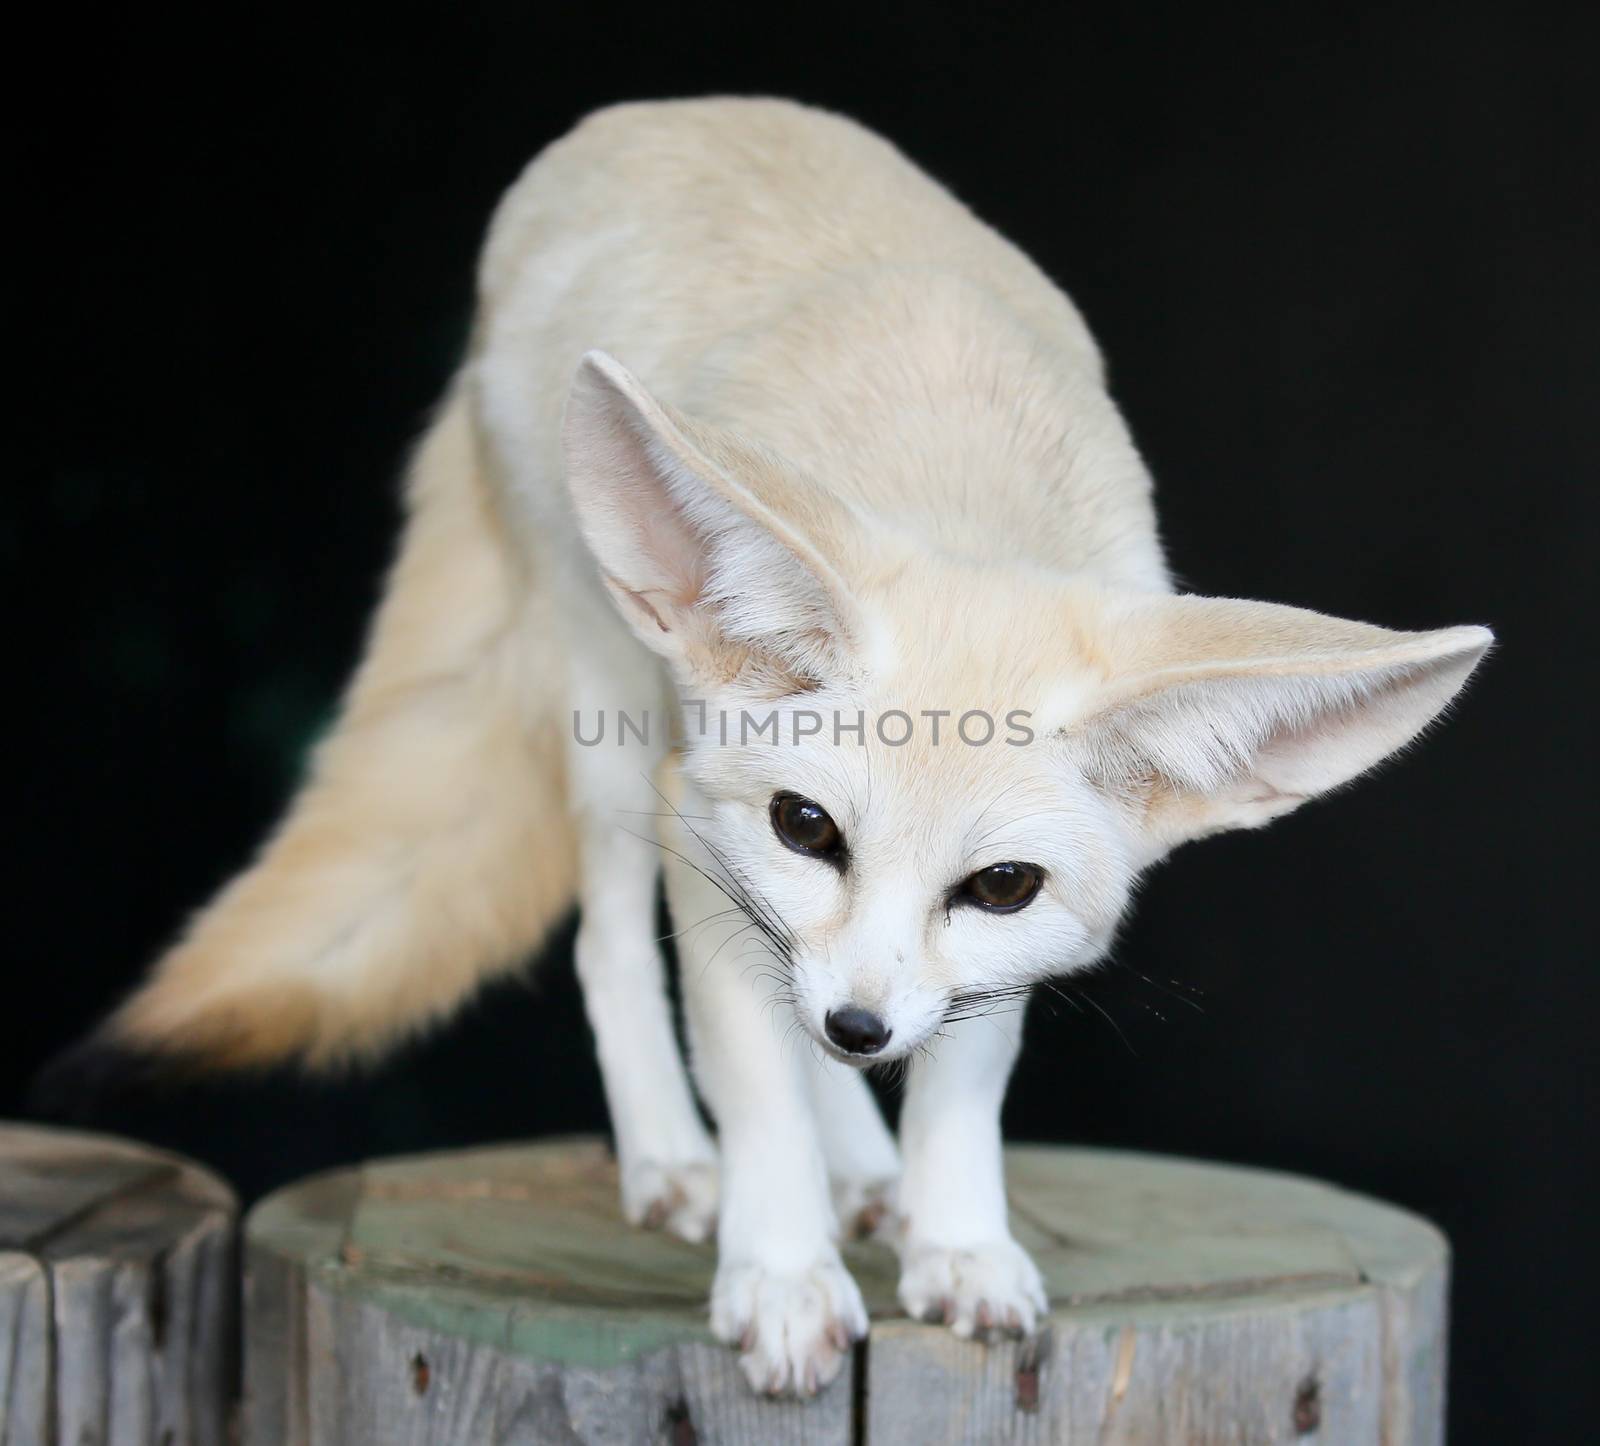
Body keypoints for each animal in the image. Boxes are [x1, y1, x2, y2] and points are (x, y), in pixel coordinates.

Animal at [93, 98, 1484, 1388]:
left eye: (1000, 886)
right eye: (807, 826)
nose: (862, 1030)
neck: (953, 482)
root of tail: (662, 112)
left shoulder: (970, 961)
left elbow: (958, 1081)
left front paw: (955, 1239)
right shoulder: (708, 831)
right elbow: (755, 1083)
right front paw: (778, 1272)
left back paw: (863, 1167)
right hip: (610, 723)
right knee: (609, 948)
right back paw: (672, 1156)